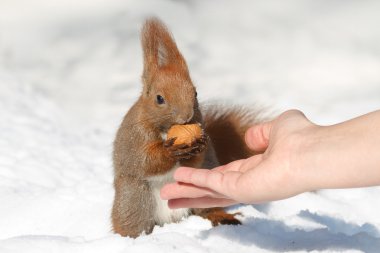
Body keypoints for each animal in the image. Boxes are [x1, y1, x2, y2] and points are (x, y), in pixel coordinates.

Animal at [110, 17, 258, 237]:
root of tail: (172, 218)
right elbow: (143, 161)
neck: (166, 130)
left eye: (195, 93)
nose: (186, 117)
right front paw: (169, 152)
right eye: (159, 98)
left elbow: (194, 162)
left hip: (202, 190)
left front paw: (199, 145)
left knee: (206, 210)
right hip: (135, 197)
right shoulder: (136, 137)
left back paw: (223, 217)